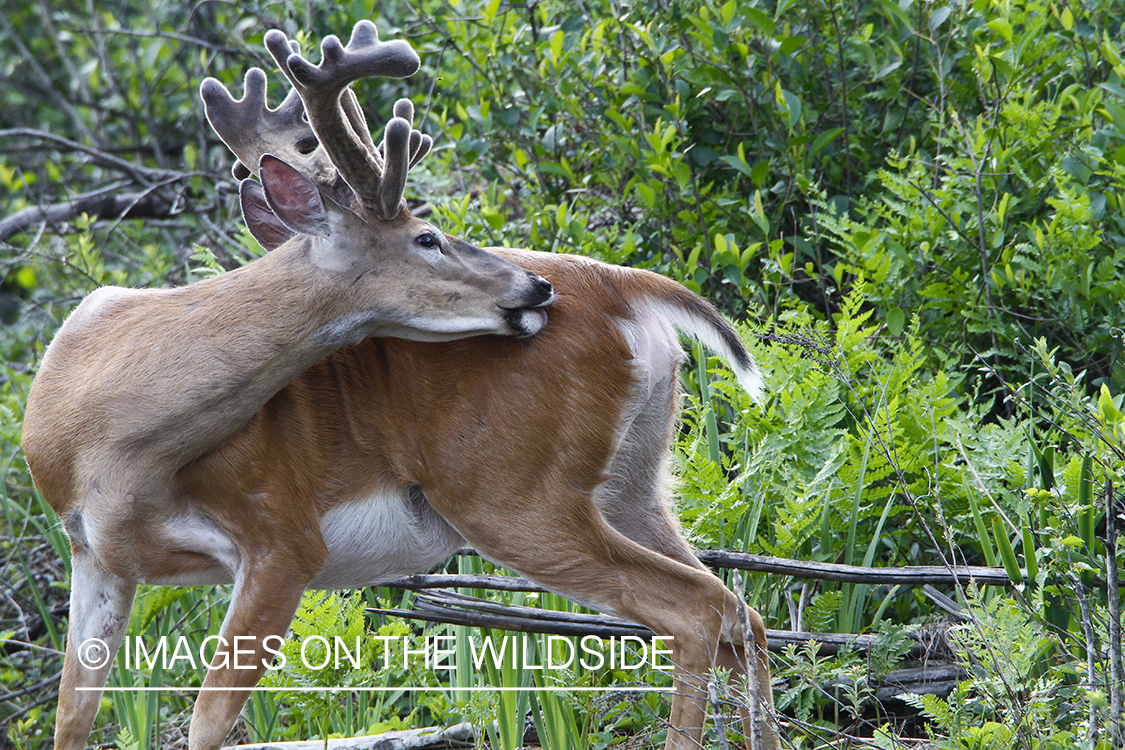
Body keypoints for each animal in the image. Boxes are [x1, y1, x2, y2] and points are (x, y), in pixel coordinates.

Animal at [21, 20, 777, 750]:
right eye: (427, 237)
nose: (535, 287)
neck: (109, 439)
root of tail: (626, 285)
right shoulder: (97, 558)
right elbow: (72, 720)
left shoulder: (282, 536)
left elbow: (208, 724)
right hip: (630, 484)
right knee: (742, 611)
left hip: (514, 493)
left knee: (698, 608)